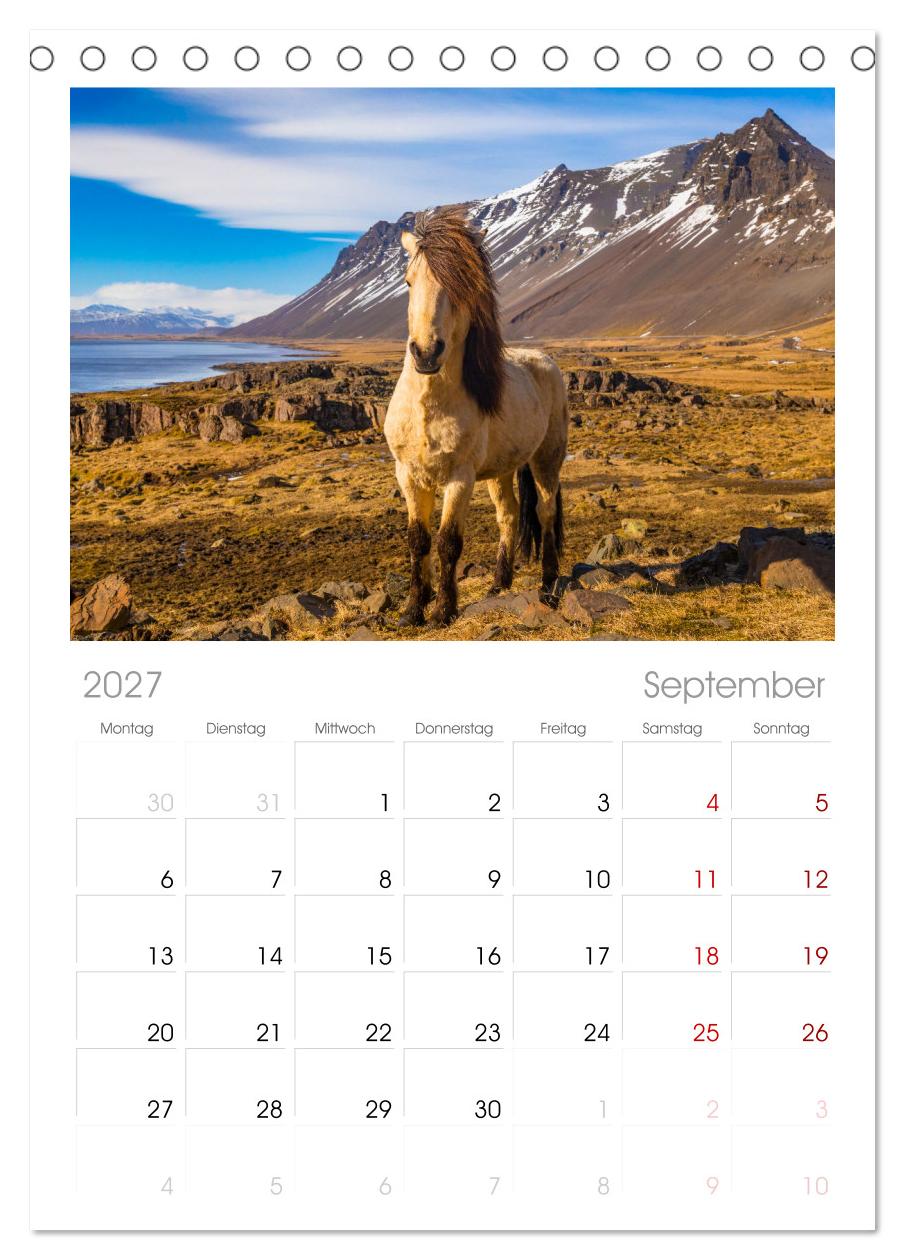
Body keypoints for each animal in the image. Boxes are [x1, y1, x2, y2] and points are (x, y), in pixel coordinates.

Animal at [383, 208, 569, 627]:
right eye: (408, 282)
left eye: (460, 287)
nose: (425, 353)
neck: (428, 405)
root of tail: (545, 360)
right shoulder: (408, 474)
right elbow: (417, 539)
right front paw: (413, 609)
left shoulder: (460, 477)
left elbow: (448, 541)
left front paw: (443, 611)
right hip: (502, 470)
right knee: (509, 515)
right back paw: (500, 583)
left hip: (547, 458)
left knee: (545, 512)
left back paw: (549, 585)